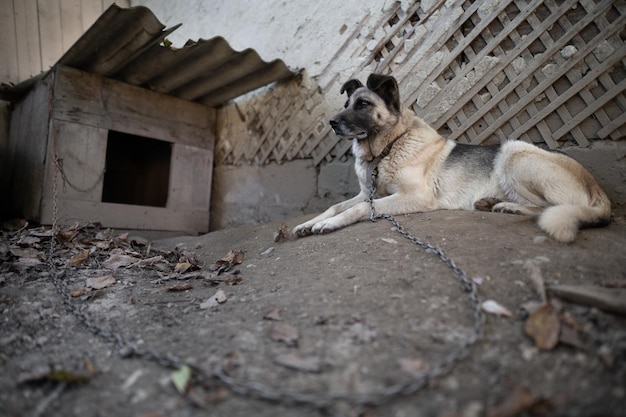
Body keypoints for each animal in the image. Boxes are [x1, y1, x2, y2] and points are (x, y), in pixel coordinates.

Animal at [292, 73, 608, 242]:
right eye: (347, 103)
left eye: (363, 104)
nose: (332, 123)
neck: (389, 147)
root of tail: (598, 190)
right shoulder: (368, 193)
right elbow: (336, 205)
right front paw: (310, 222)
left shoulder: (414, 196)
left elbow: (356, 209)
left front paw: (328, 225)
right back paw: (493, 203)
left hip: (513, 152)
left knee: (554, 207)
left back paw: (509, 207)